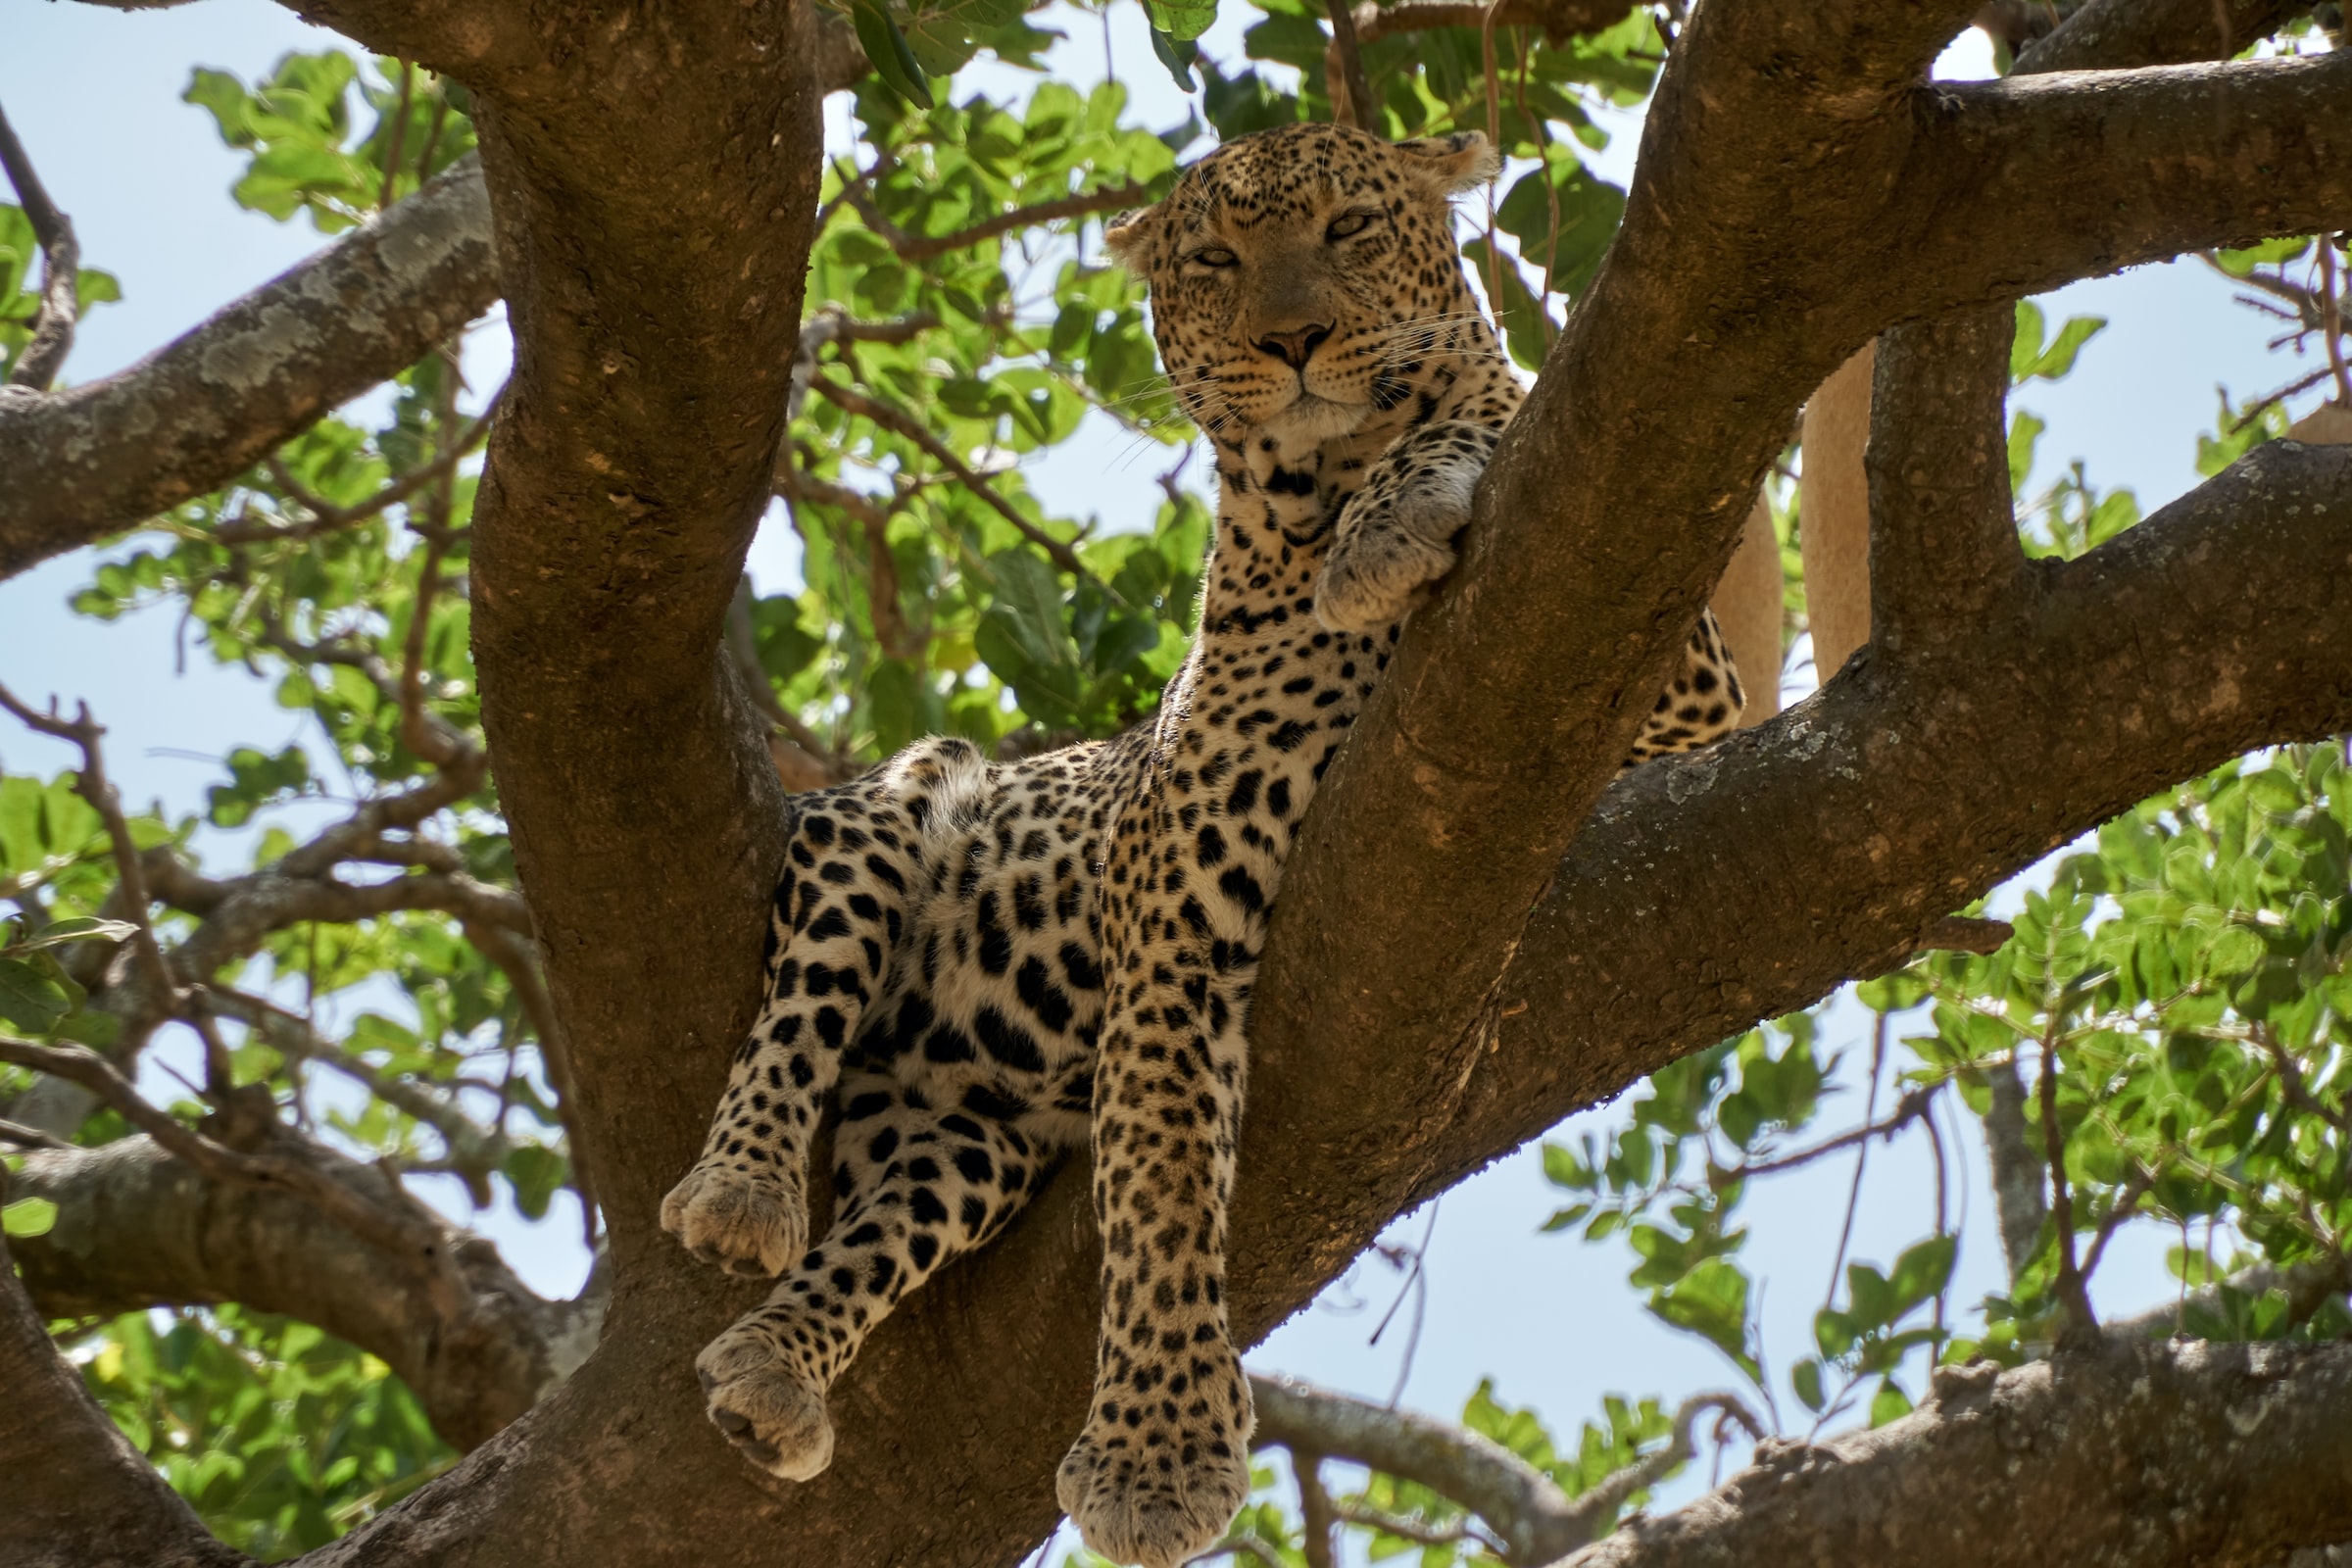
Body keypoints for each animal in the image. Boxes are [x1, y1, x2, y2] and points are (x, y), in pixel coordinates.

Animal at [662, 122, 1749, 1568]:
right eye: (1216, 262)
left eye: (1352, 227)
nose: (1292, 339)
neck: (1315, 494)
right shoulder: (1176, 898)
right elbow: (1163, 1179)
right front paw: (1158, 1459)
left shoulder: (1677, 685)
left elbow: (1478, 411)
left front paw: (1403, 510)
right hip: (891, 808)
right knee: (798, 1016)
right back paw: (741, 1196)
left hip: (967, 1144)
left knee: (887, 1223)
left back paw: (776, 1366)